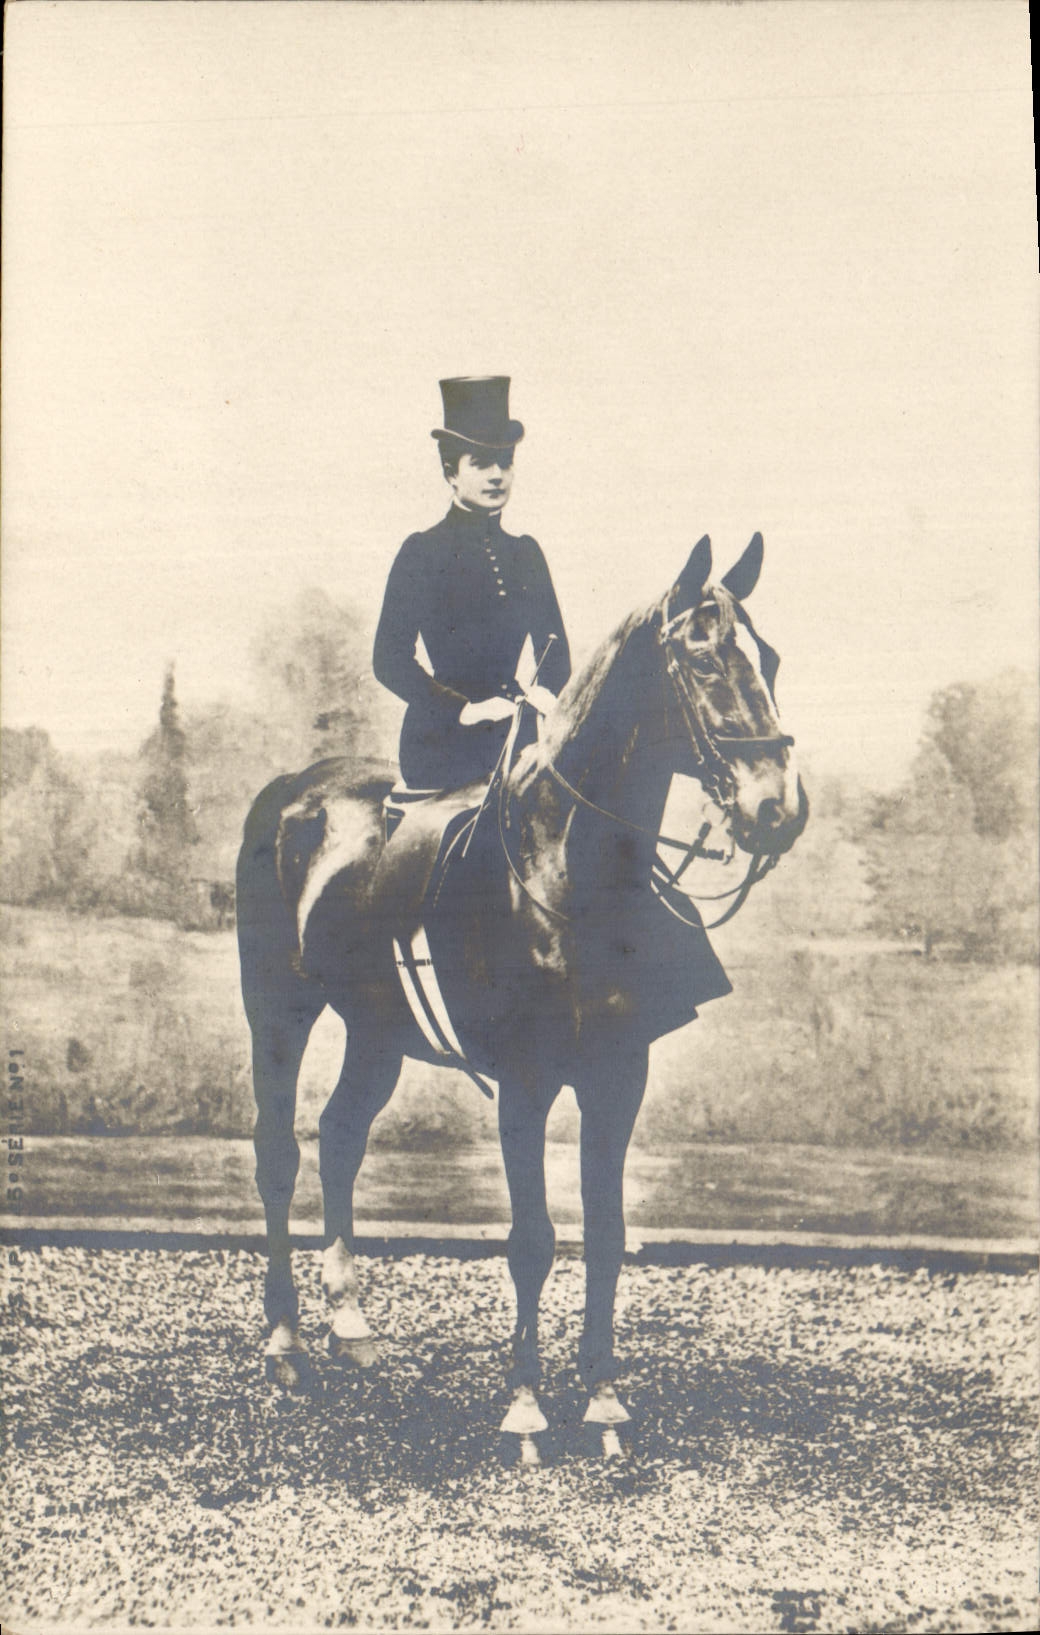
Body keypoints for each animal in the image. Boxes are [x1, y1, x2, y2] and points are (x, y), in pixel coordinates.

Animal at [236, 532, 807, 1462]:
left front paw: (604, 1400)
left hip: (376, 1028)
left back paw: (349, 1321)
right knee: (279, 1153)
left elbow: (606, 1235)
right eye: (701, 658)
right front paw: (527, 1407)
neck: (565, 870)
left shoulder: (618, 1074)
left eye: (771, 657)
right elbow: (533, 1238)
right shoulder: (526, 1083)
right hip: (277, 1008)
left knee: (342, 1134)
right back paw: (285, 1340)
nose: (777, 809)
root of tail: (291, 788)